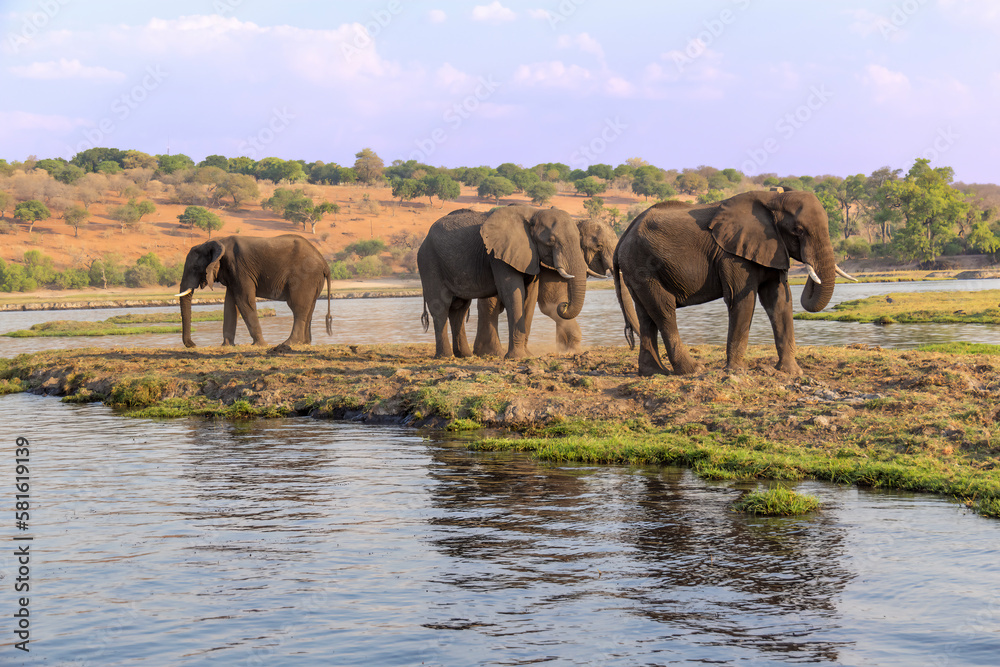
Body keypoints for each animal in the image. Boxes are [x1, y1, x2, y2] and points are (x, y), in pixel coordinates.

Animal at [175, 234, 332, 348]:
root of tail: (324, 262)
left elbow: (244, 300)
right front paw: (227, 346)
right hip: (314, 280)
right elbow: (230, 304)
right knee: (309, 307)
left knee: (298, 307)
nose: (193, 345)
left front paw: (260, 345)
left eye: (195, 268)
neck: (217, 242)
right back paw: (304, 343)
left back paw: (288, 343)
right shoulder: (232, 274)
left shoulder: (239, 269)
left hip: (305, 276)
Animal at [418, 205, 588, 359]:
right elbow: (513, 294)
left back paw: (465, 356)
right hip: (429, 262)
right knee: (441, 307)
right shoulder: (498, 256)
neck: (534, 212)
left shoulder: (530, 256)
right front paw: (516, 357)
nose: (563, 305)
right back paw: (445, 356)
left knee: (459, 308)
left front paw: (528, 355)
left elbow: (530, 296)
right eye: (550, 241)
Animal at [473, 216, 619, 355]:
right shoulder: (547, 267)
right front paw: (574, 350)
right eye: (599, 246)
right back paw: (491, 352)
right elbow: (551, 303)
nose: (565, 305)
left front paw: (563, 349)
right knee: (491, 306)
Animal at [613, 190, 855, 376]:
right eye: (798, 231)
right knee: (664, 311)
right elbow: (742, 300)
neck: (773, 199)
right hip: (643, 266)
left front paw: (790, 372)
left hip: (636, 270)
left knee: (646, 316)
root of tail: (622, 237)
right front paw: (736, 372)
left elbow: (779, 301)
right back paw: (693, 370)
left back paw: (653, 372)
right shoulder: (732, 256)